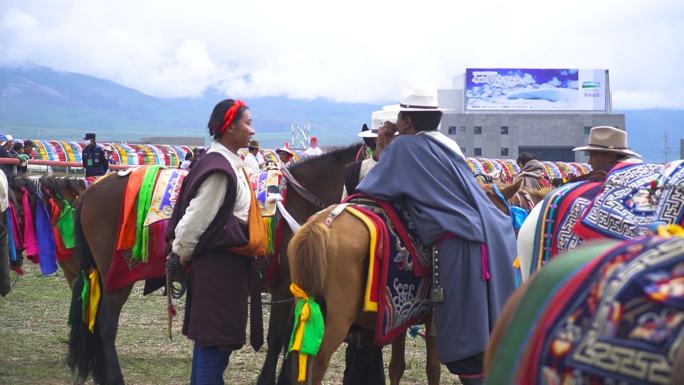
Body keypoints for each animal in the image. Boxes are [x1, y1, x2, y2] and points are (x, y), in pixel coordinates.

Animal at [65, 145, 364, 384]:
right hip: (117, 275)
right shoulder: (283, 289)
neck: (299, 201)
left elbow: (293, 341)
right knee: (106, 324)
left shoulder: (297, 292)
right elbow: (277, 339)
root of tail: (91, 190)